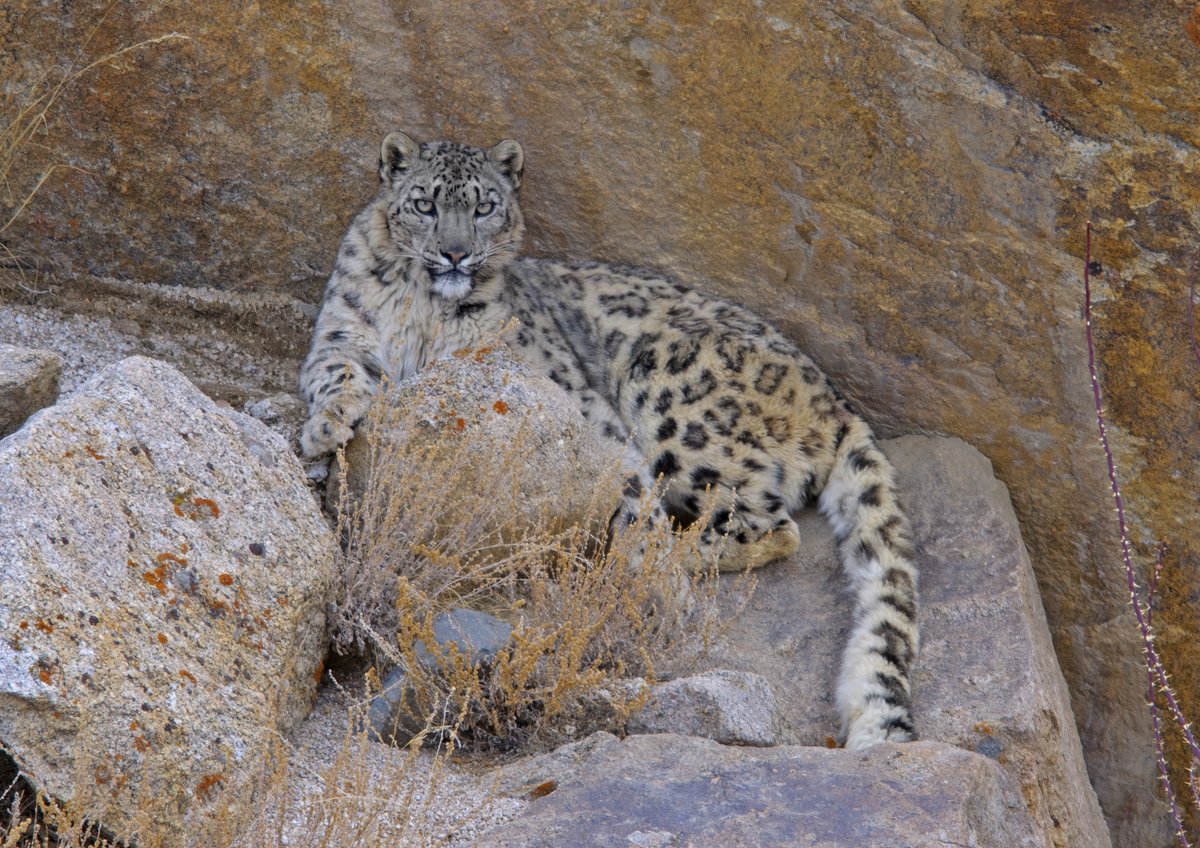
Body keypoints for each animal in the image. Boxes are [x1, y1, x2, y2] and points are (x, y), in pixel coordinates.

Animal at [297, 129, 916, 748]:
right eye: (425, 204)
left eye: (484, 207)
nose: (455, 253)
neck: (424, 309)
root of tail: (832, 398)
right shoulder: (340, 333)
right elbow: (334, 372)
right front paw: (324, 427)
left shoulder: (565, 391)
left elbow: (626, 479)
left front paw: (660, 585)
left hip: (664, 387)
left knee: (767, 521)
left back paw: (646, 559)